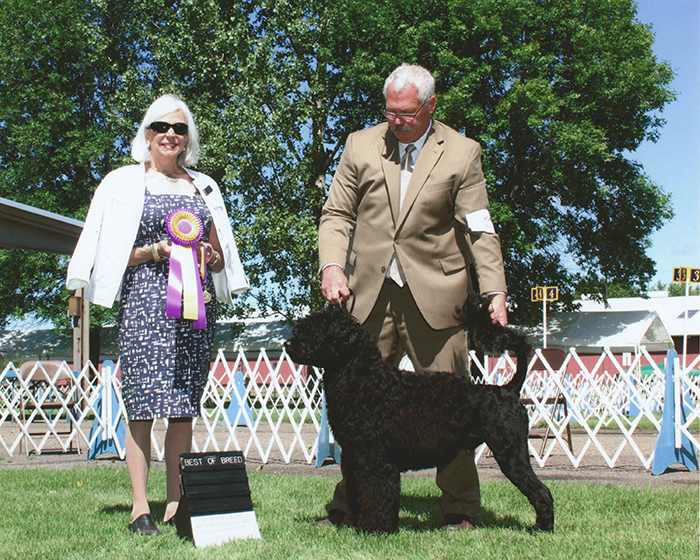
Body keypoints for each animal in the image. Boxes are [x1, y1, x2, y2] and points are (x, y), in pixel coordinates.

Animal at [284, 298, 552, 532]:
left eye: (315, 330)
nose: (287, 345)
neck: (365, 379)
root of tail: (508, 389)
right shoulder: (354, 456)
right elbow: (354, 491)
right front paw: (350, 522)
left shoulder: (376, 459)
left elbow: (378, 494)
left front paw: (375, 529)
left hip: (511, 455)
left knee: (542, 491)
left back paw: (542, 527)